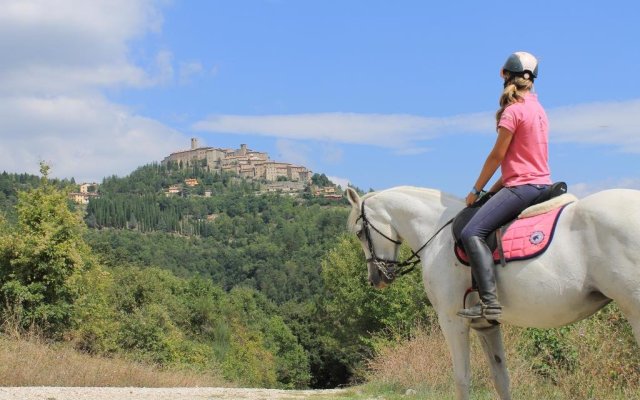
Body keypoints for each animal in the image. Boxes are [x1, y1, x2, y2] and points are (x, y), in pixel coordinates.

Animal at [348, 187, 640, 400]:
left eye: (360, 232)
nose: (376, 279)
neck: (437, 234)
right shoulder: (486, 326)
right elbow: (501, 378)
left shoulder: (452, 321)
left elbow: (462, 378)